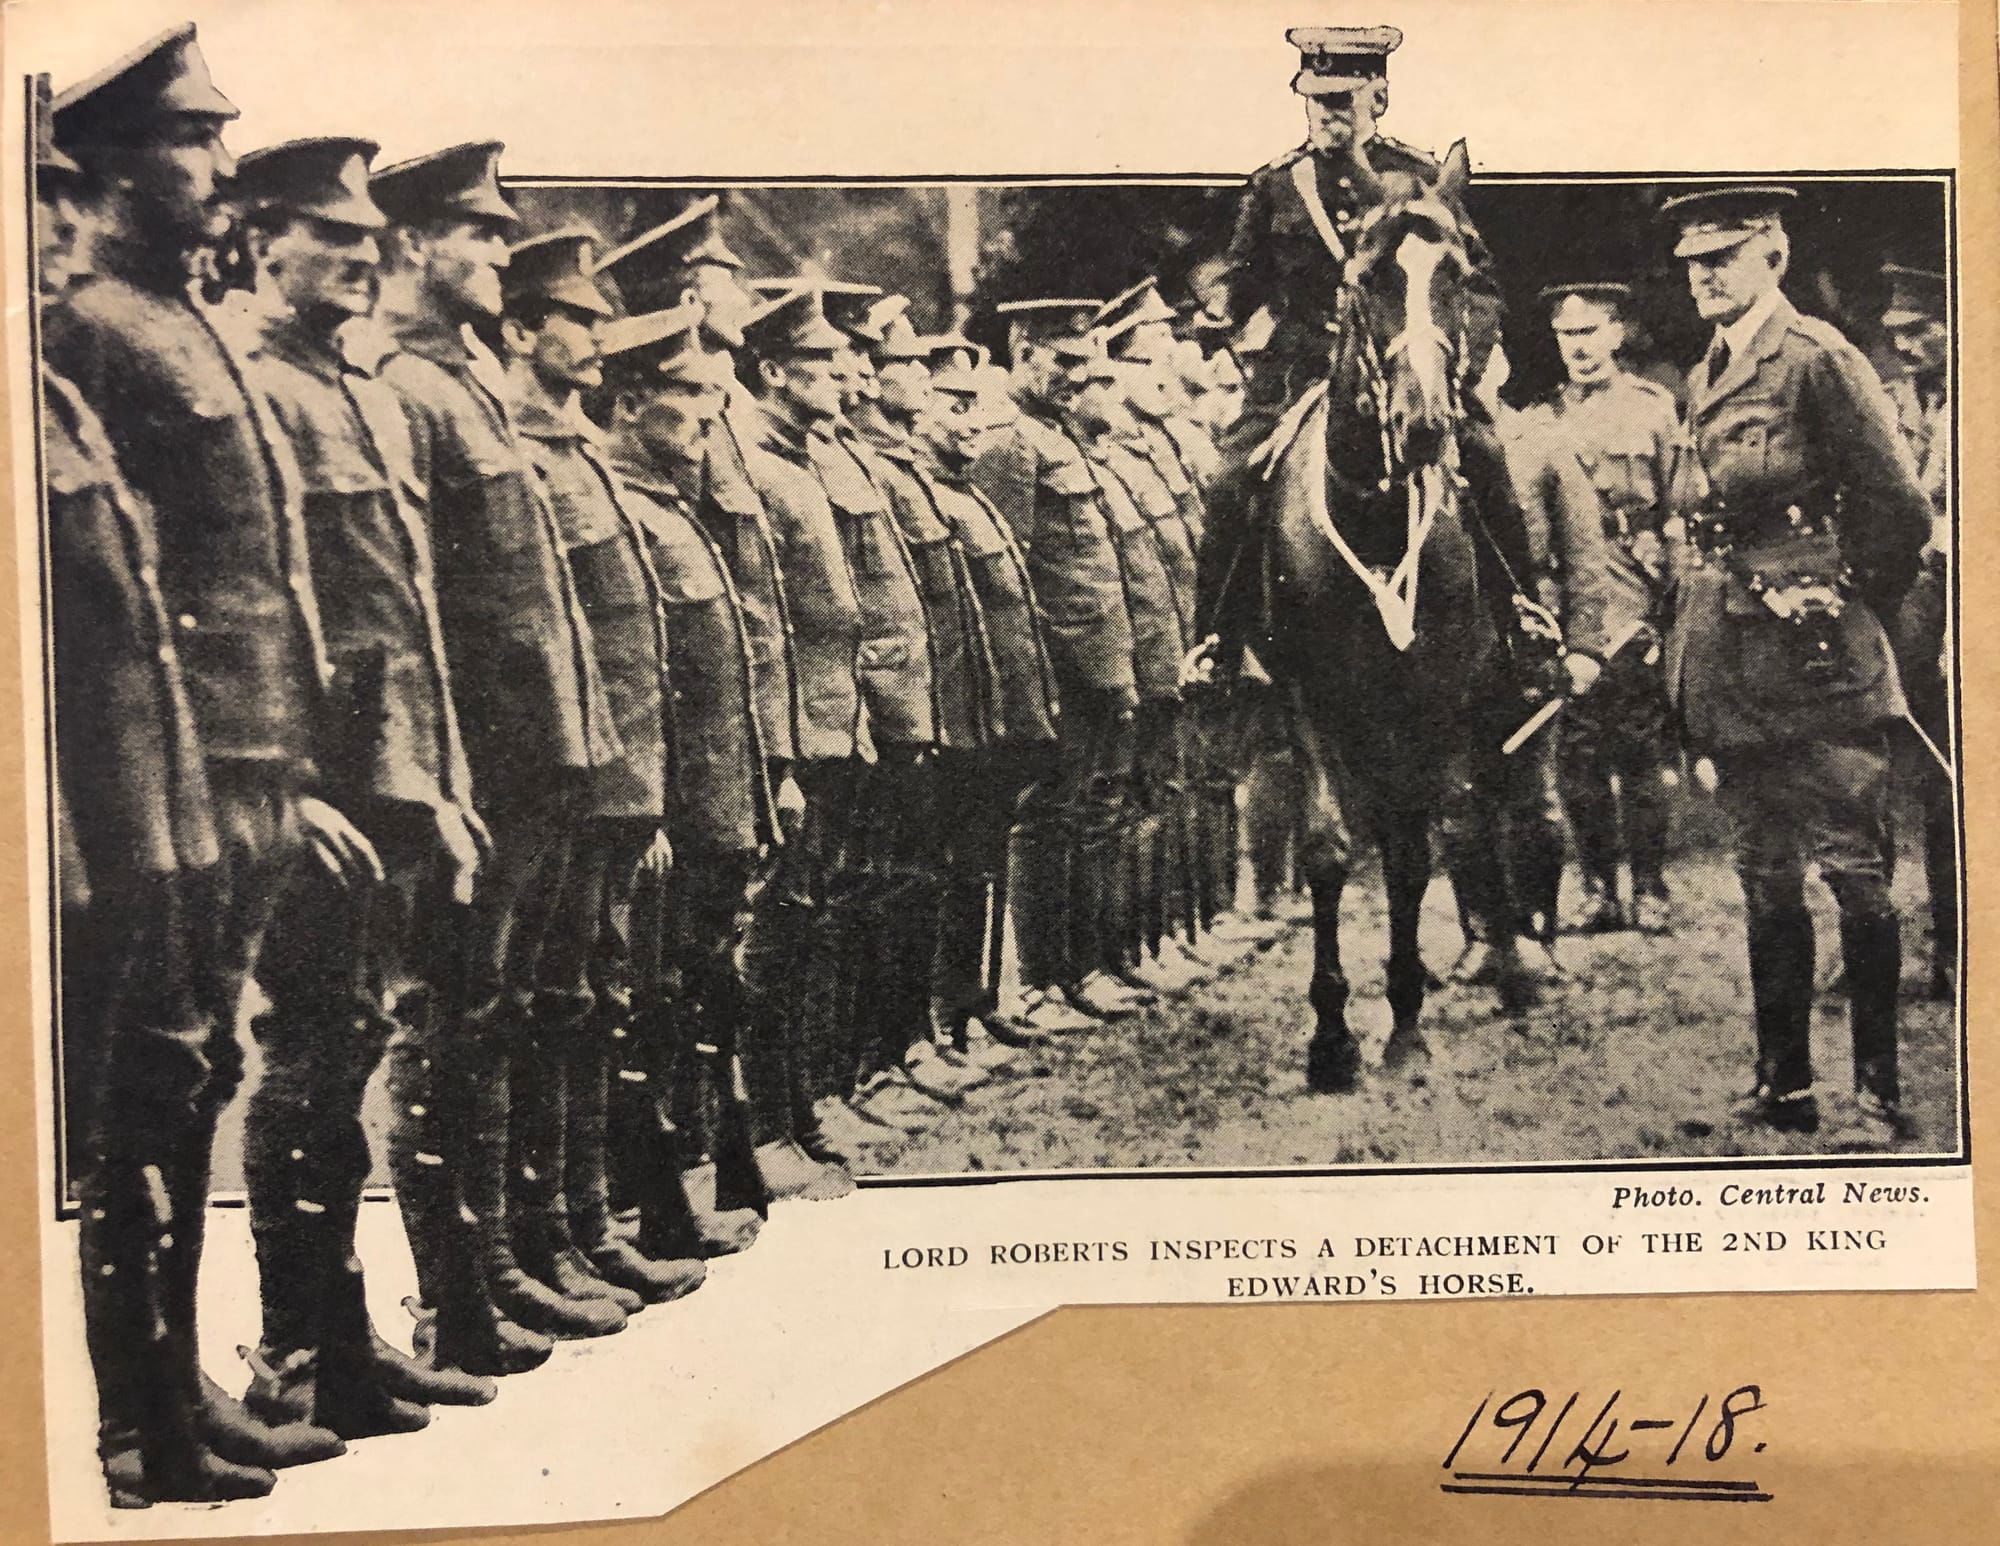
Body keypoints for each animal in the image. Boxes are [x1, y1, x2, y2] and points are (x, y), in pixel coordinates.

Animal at [1256, 142, 1520, 1088]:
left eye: (1459, 272)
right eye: (1367, 279)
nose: (1424, 425)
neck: (1370, 515)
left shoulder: (1435, 698)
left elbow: (1412, 852)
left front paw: (1406, 1026)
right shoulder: (1306, 696)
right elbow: (1330, 849)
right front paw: (1332, 1039)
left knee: (1475, 814)